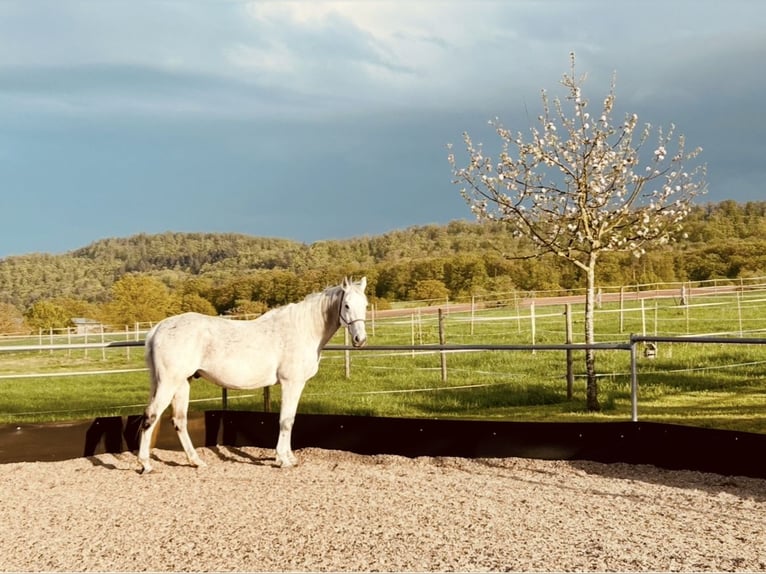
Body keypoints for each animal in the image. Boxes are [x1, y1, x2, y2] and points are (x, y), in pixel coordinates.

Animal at [138, 278, 368, 472]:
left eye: (365, 305)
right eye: (347, 305)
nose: (360, 339)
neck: (303, 329)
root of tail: (158, 328)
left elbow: (290, 419)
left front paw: (289, 457)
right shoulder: (291, 383)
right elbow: (286, 421)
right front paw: (283, 460)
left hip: (182, 383)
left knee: (179, 421)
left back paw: (196, 461)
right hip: (169, 383)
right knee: (151, 415)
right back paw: (145, 464)